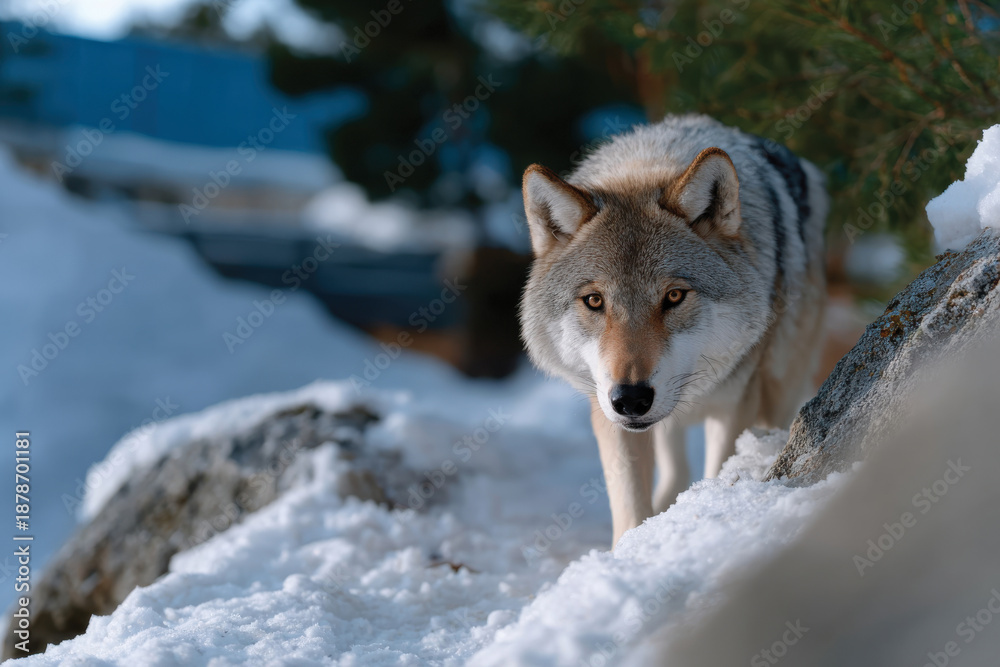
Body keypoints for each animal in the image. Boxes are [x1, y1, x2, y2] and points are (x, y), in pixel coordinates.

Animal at [519, 114, 828, 546]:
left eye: (674, 296)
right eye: (594, 301)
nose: (631, 399)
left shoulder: (736, 404)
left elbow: (718, 472)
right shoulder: (609, 413)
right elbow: (630, 507)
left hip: (781, 384)